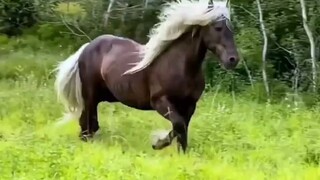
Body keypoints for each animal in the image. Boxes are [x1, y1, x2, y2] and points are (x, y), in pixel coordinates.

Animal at [55, 0, 239, 153]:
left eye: (231, 28)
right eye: (218, 27)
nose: (233, 60)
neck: (181, 67)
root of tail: (87, 46)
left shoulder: (189, 105)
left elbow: (181, 129)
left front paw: (177, 152)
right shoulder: (160, 102)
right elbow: (179, 125)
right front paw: (158, 143)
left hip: (103, 95)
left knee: (88, 122)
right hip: (90, 95)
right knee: (89, 120)